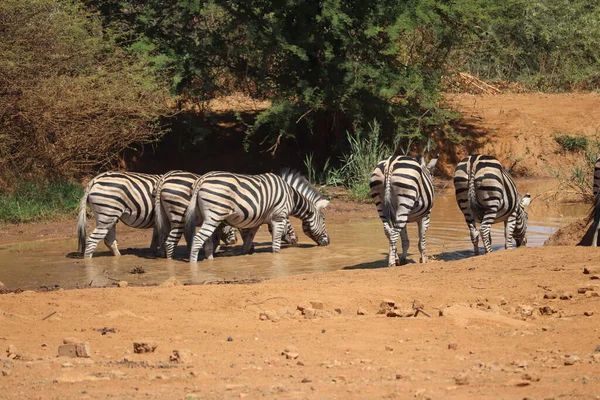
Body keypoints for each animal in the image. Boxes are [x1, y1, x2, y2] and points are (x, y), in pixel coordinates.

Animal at [185, 169, 330, 262]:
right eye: (323, 219)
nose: (329, 242)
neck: (291, 197)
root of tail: (202, 179)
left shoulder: (256, 222)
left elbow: (247, 243)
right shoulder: (279, 217)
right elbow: (276, 245)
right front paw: (276, 259)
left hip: (206, 217)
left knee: (207, 242)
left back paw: (210, 262)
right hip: (215, 215)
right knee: (197, 239)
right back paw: (193, 266)